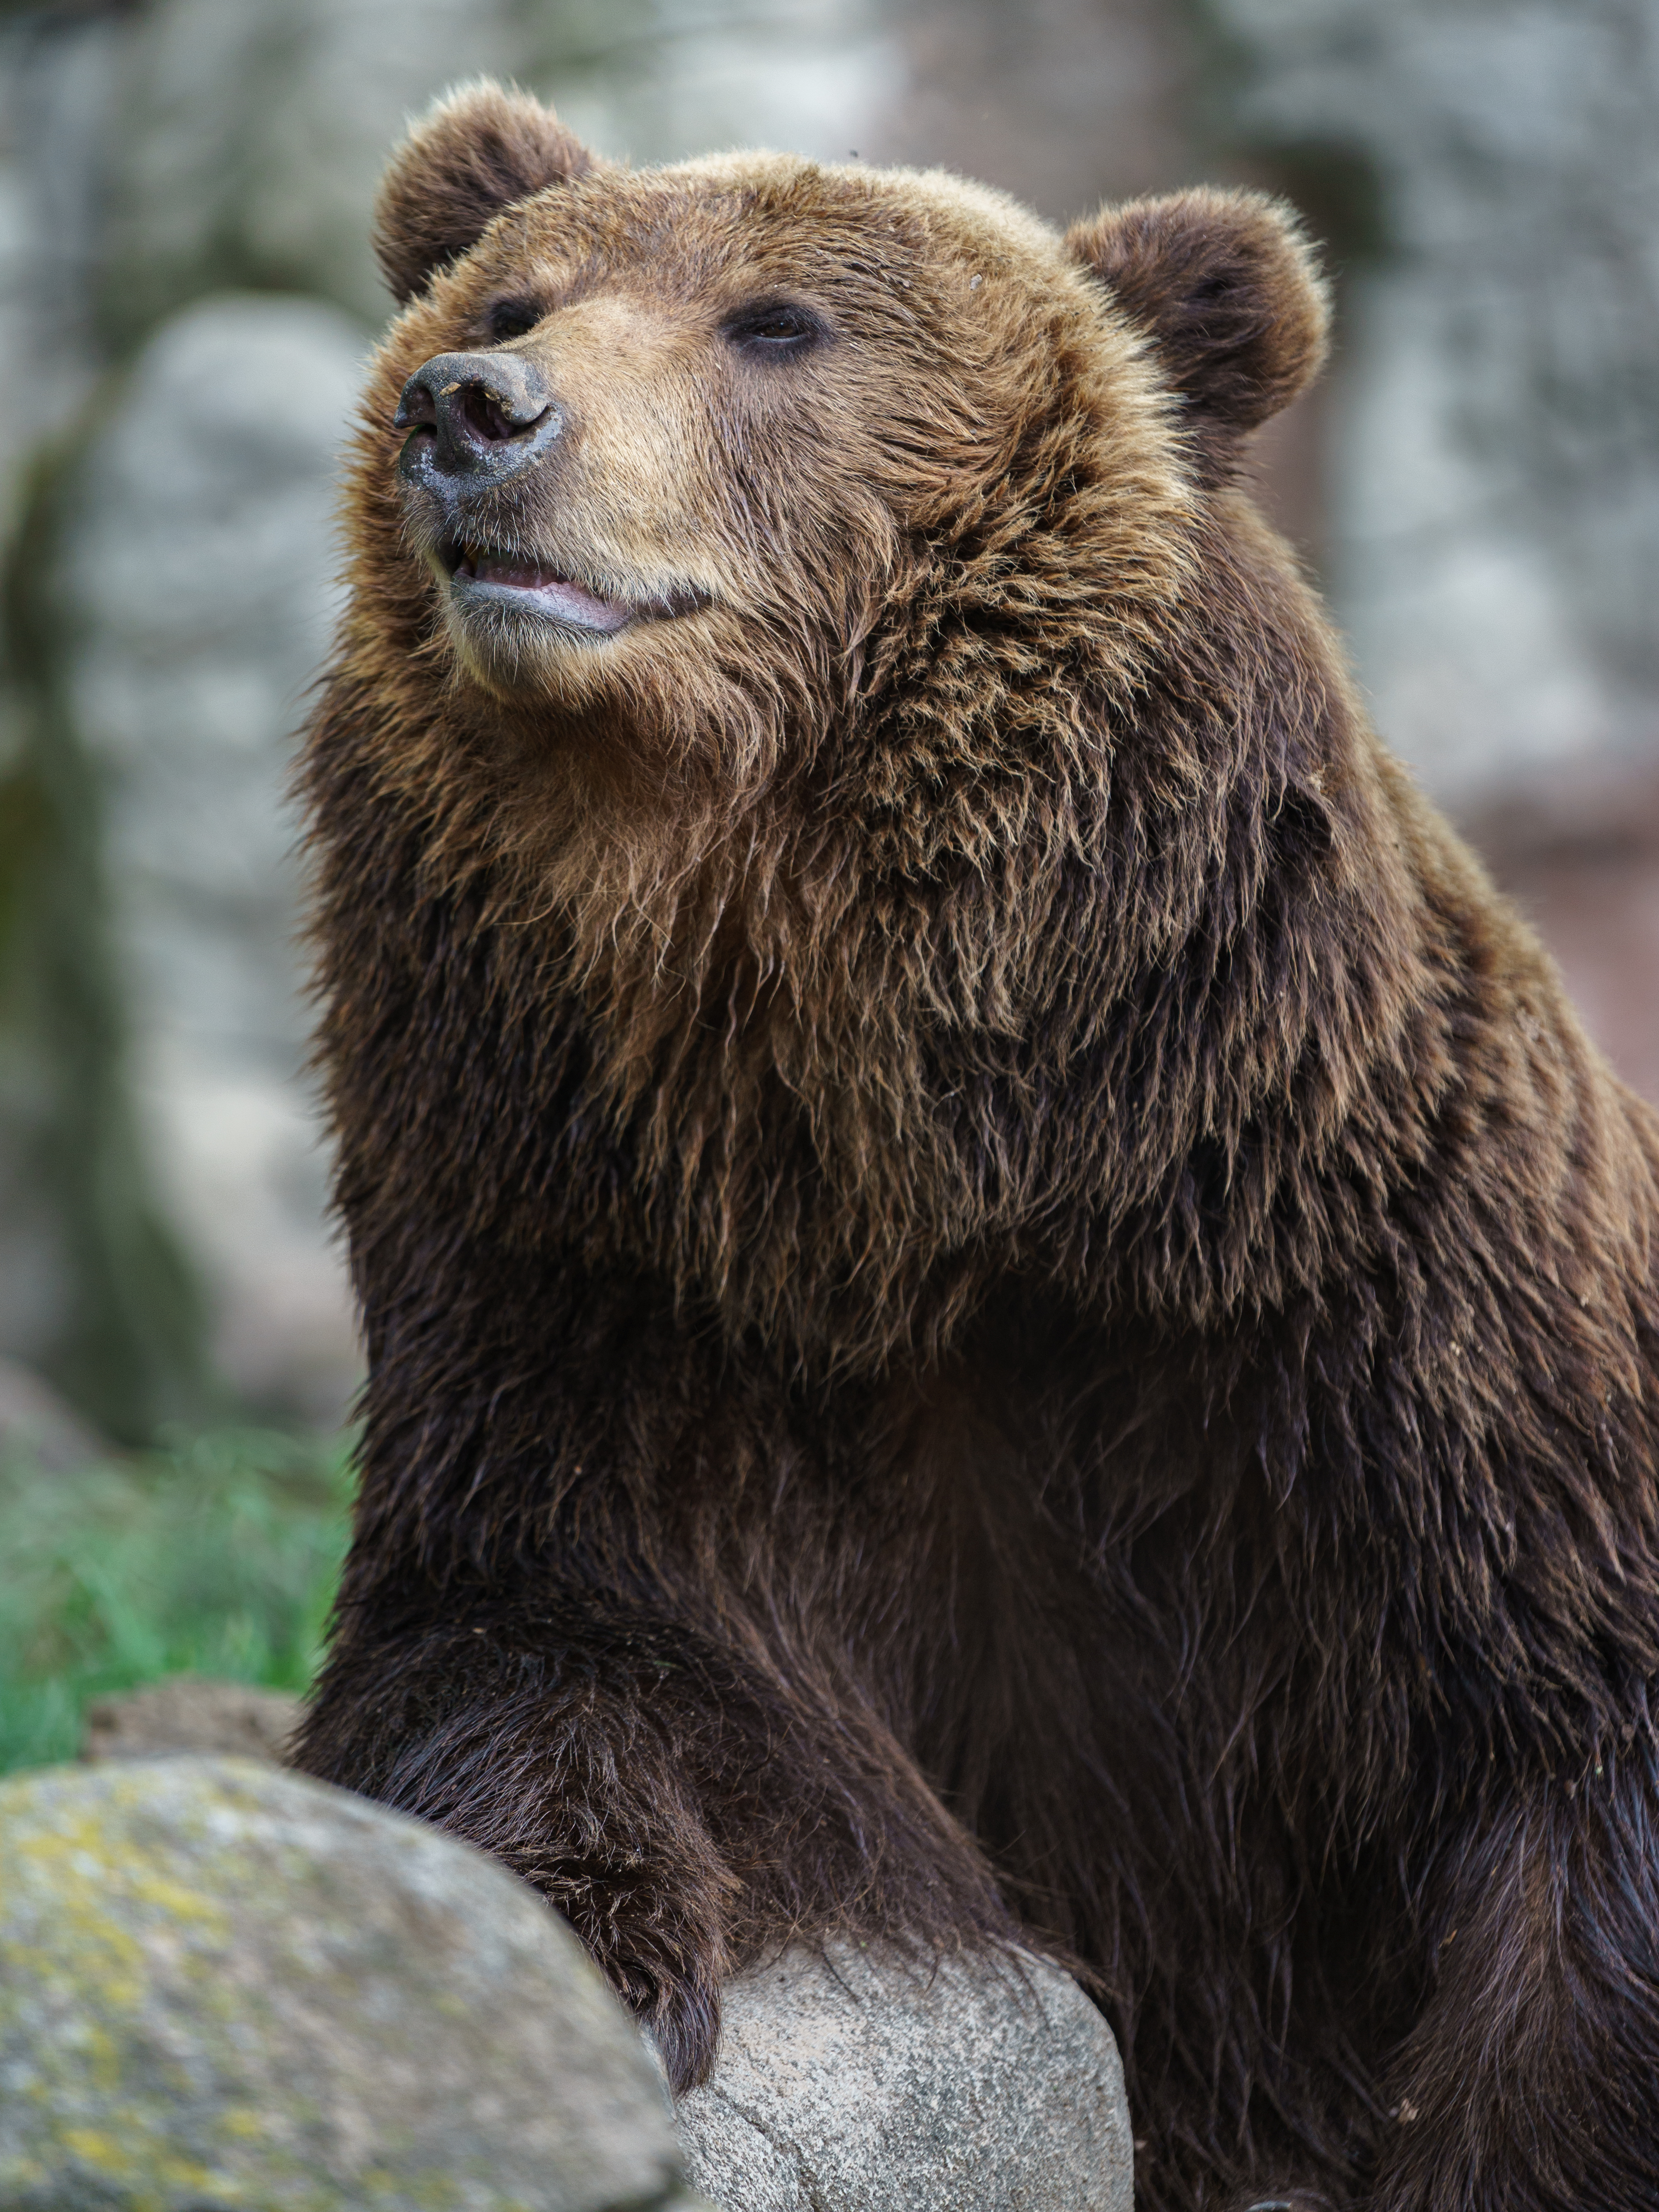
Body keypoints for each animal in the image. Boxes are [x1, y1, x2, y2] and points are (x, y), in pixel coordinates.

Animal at [292, 82, 1659, 2212]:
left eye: (775, 324)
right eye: (515, 293)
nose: (475, 405)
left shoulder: (1381, 1338)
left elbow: (1567, 1808)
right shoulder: (584, 1262)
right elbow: (545, 1636)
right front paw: (580, 1956)